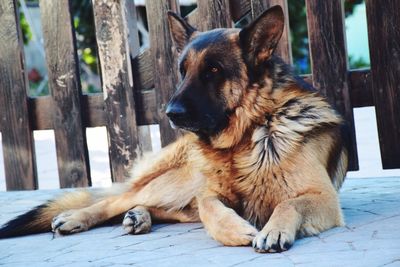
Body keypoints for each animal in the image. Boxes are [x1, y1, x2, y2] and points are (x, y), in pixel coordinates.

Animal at [0, 6, 346, 253]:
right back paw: (80, 217)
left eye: (214, 71)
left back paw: (139, 216)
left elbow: (289, 202)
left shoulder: (324, 199)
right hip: (179, 181)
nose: (170, 114)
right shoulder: (208, 193)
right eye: (183, 71)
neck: (247, 136)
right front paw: (236, 230)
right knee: (116, 201)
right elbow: (209, 206)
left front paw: (273, 229)